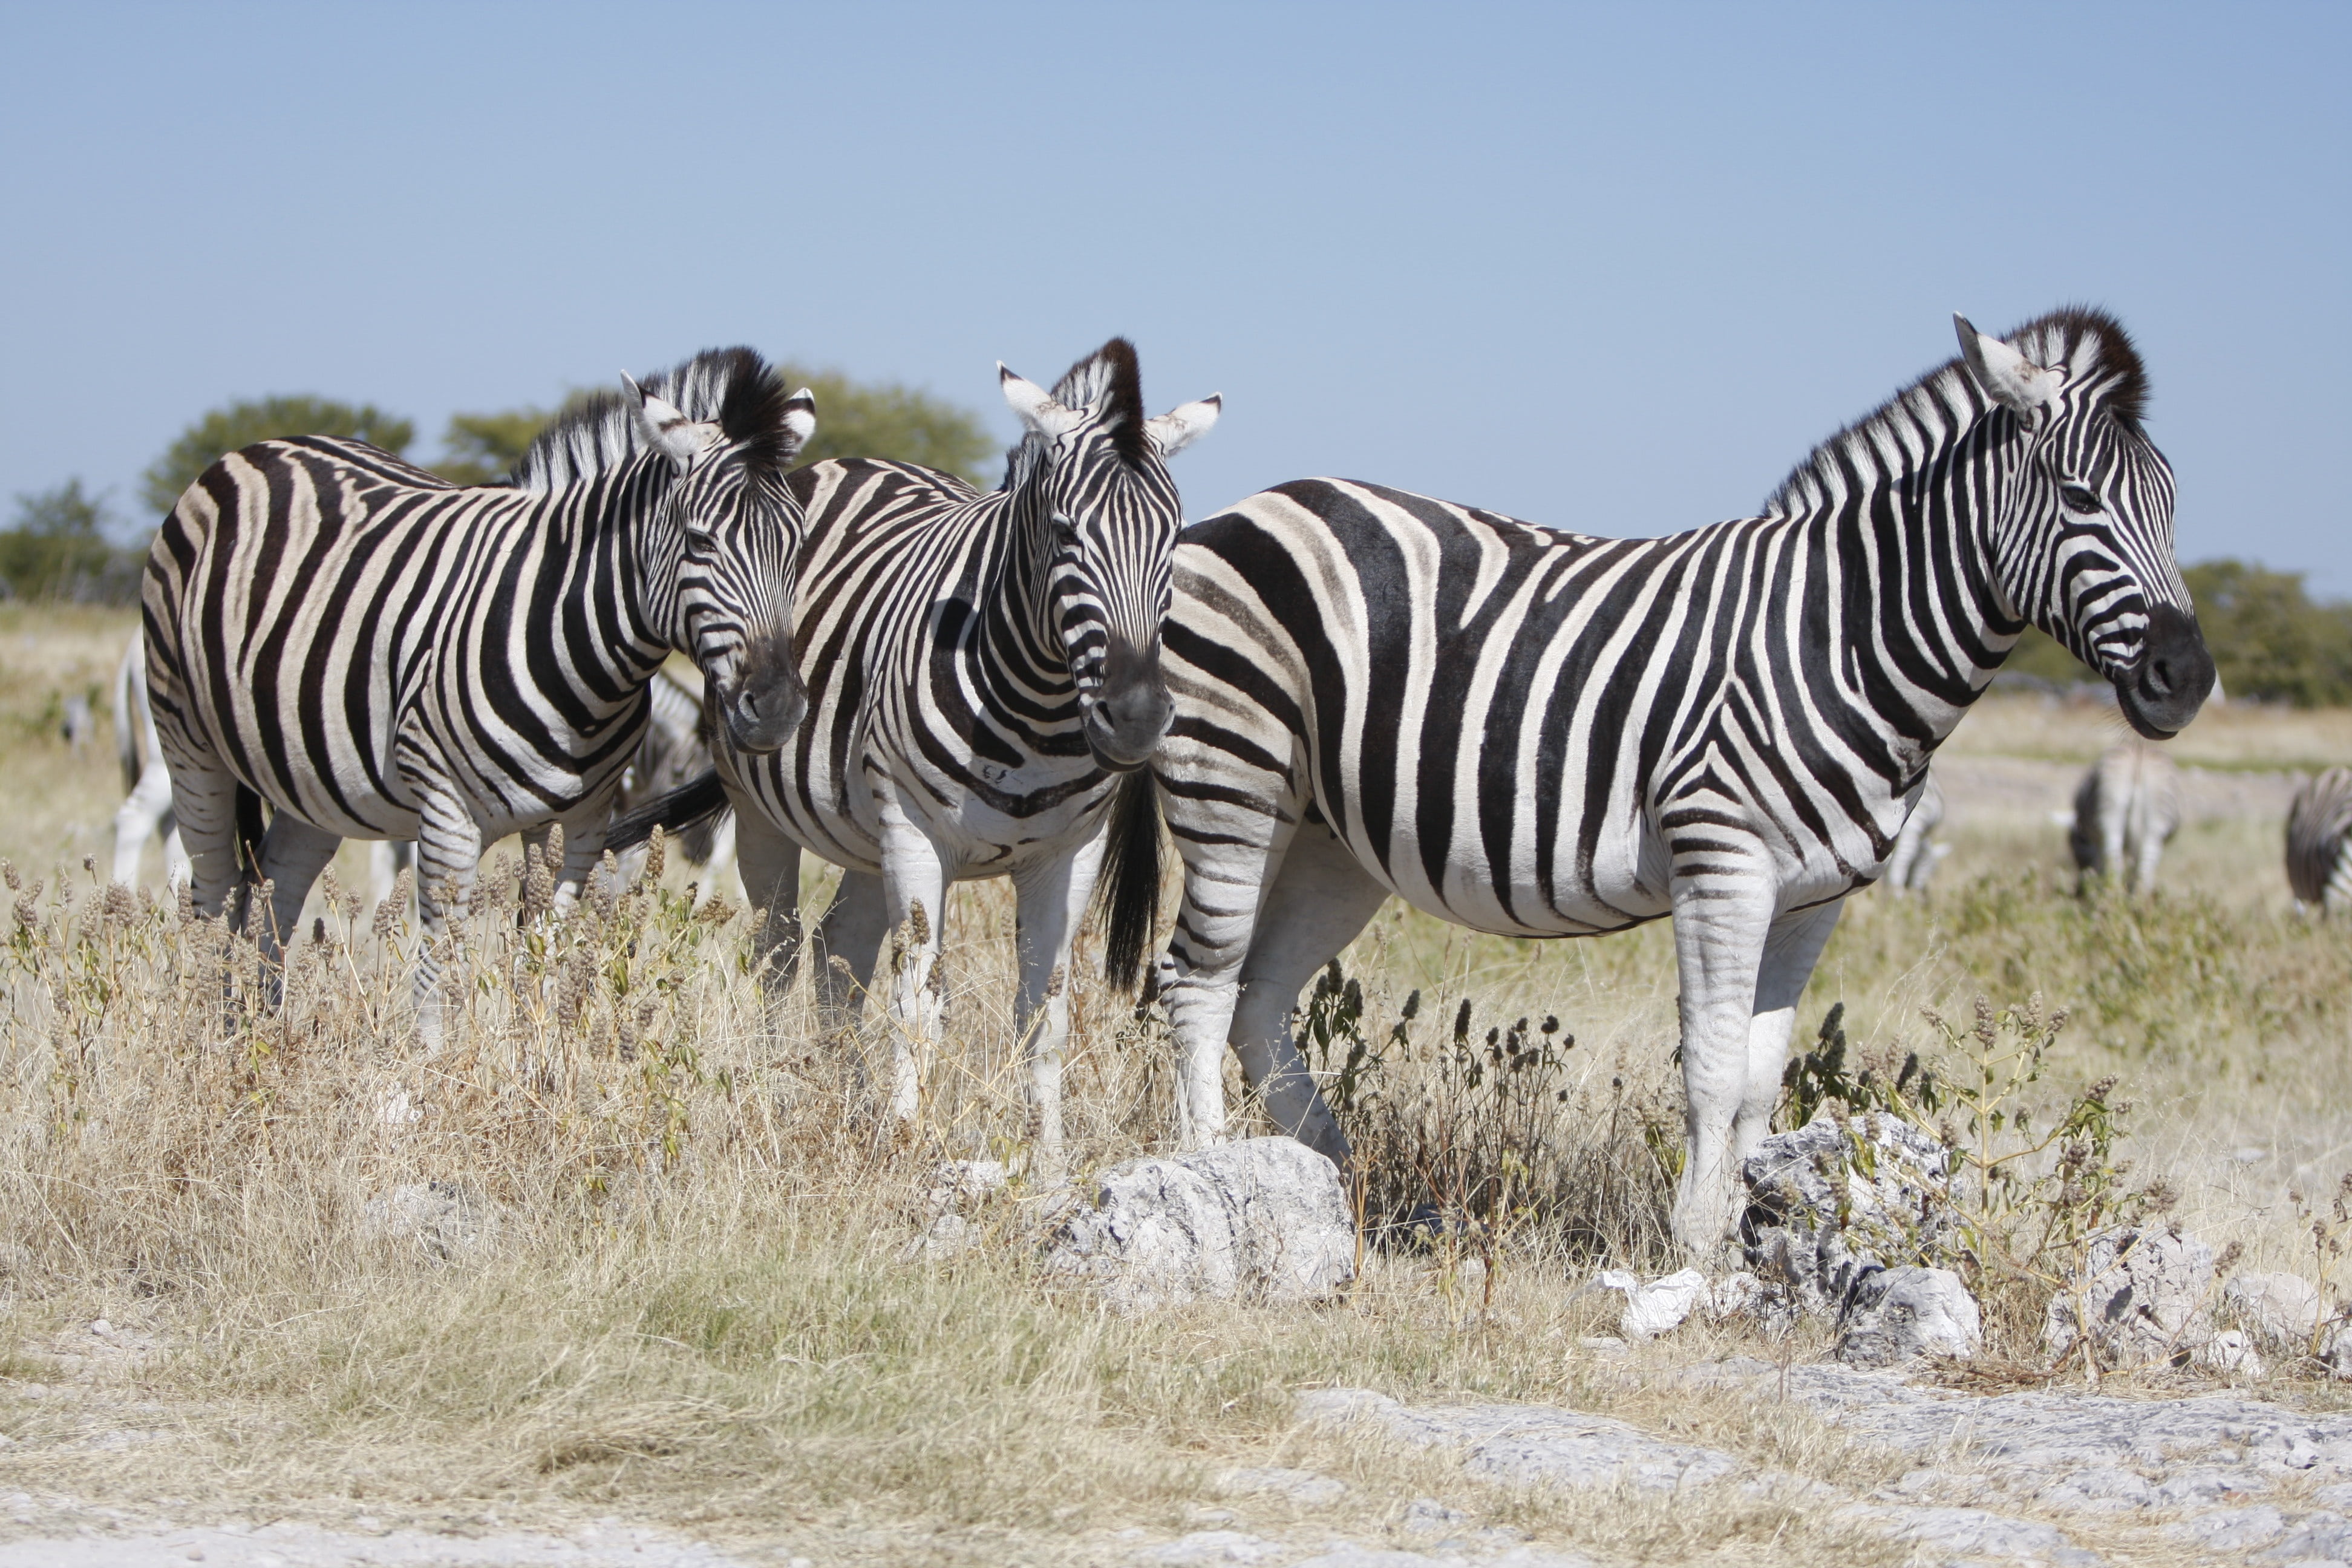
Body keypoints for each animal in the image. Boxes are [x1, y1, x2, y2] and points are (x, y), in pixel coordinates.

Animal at [142, 347, 815, 1040]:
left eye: (798, 545)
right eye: (700, 541)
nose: (778, 708)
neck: (579, 659)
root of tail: (263, 446)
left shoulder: (579, 826)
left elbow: (542, 960)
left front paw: (535, 1059)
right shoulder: (448, 818)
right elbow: (438, 975)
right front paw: (430, 1070)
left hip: (311, 778)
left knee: (277, 886)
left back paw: (261, 1029)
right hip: (188, 744)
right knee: (213, 894)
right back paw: (212, 1034)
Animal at [612, 339, 1219, 1168]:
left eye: (1174, 537)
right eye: (1066, 534)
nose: (1134, 719)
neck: (1037, 705)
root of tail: (854, 460)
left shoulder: (1069, 854)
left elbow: (1045, 1013)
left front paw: (1048, 1160)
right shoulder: (918, 836)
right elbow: (917, 1003)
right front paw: (907, 1143)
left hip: (866, 835)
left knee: (837, 951)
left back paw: (841, 1096)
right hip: (771, 809)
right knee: (777, 950)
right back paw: (776, 1091)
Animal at [2067, 741, 2181, 895]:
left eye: (2075, 851)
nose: (2079, 888)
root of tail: (2138, 761)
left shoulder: (2097, 842)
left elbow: (2100, 862)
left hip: (2110, 815)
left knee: (2114, 862)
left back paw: (2112, 893)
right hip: (2155, 823)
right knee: (2144, 867)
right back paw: (2137, 899)